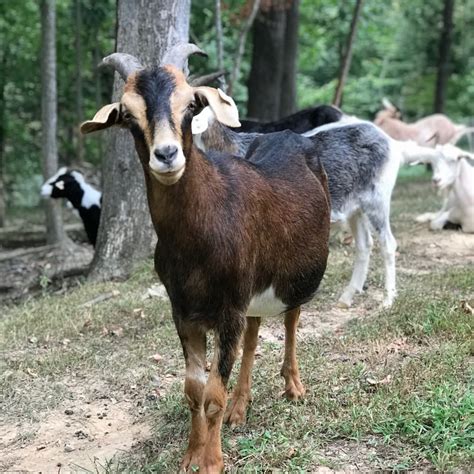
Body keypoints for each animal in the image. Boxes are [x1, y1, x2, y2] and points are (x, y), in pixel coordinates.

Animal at [81, 43, 332, 470]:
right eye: (127, 114)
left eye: (190, 105)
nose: (167, 155)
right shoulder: (185, 312)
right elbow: (194, 389)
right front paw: (189, 456)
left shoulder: (228, 307)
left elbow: (213, 393)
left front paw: (212, 462)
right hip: (250, 295)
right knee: (253, 335)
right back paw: (240, 409)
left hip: (292, 278)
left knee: (291, 320)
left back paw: (293, 386)